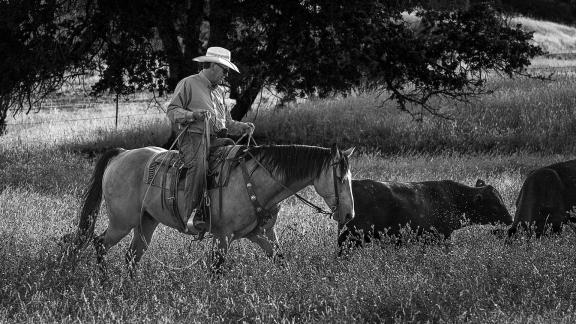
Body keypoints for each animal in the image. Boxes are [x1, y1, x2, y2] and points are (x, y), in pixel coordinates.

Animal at [72, 144, 356, 276]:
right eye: (340, 178)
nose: (349, 215)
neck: (255, 181)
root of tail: (122, 154)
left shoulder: (261, 234)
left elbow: (280, 260)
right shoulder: (223, 235)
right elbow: (217, 269)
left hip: (146, 222)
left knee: (132, 255)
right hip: (122, 222)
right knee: (99, 242)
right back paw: (106, 282)